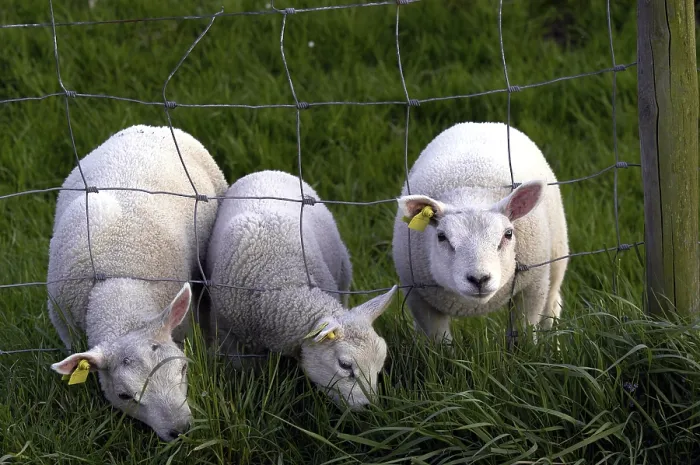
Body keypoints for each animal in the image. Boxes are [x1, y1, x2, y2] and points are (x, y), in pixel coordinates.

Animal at [205, 170, 397, 410]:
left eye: (380, 364)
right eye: (344, 365)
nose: (371, 407)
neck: (282, 281)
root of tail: (268, 171)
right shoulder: (226, 333)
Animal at [391, 121, 569, 344]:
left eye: (508, 234)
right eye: (441, 237)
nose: (479, 279)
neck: (471, 194)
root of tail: (480, 123)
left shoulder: (533, 287)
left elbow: (525, 333)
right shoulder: (419, 297)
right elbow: (440, 343)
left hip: (557, 258)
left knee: (551, 306)